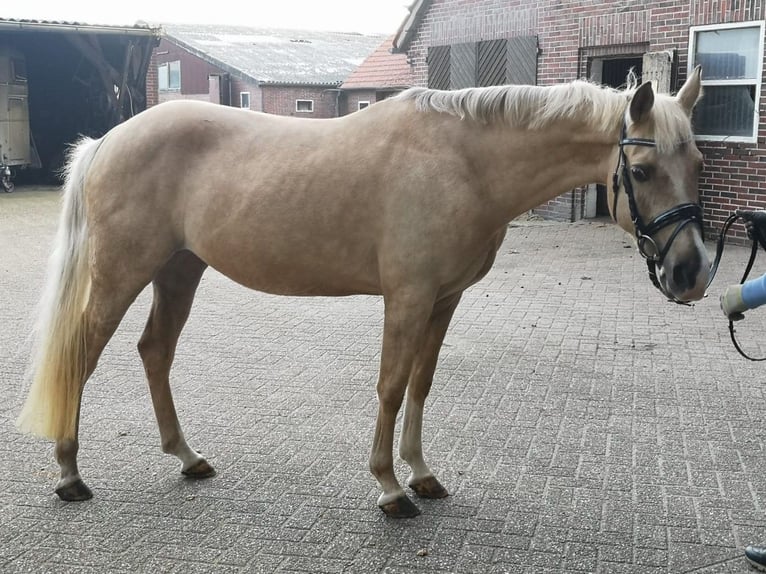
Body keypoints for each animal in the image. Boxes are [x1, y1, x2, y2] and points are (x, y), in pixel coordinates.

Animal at [15, 66, 708, 516]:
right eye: (643, 169)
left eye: (699, 163)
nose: (693, 273)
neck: (463, 163)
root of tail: (108, 139)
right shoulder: (407, 297)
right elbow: (391, 386)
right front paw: (389, 488)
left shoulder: (444, 300)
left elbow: (422, 385)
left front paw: (422, 474)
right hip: (123, 273)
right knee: (82, 353)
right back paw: (70, 474)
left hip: (180, 269)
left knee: (155, 350)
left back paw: (187, 458)